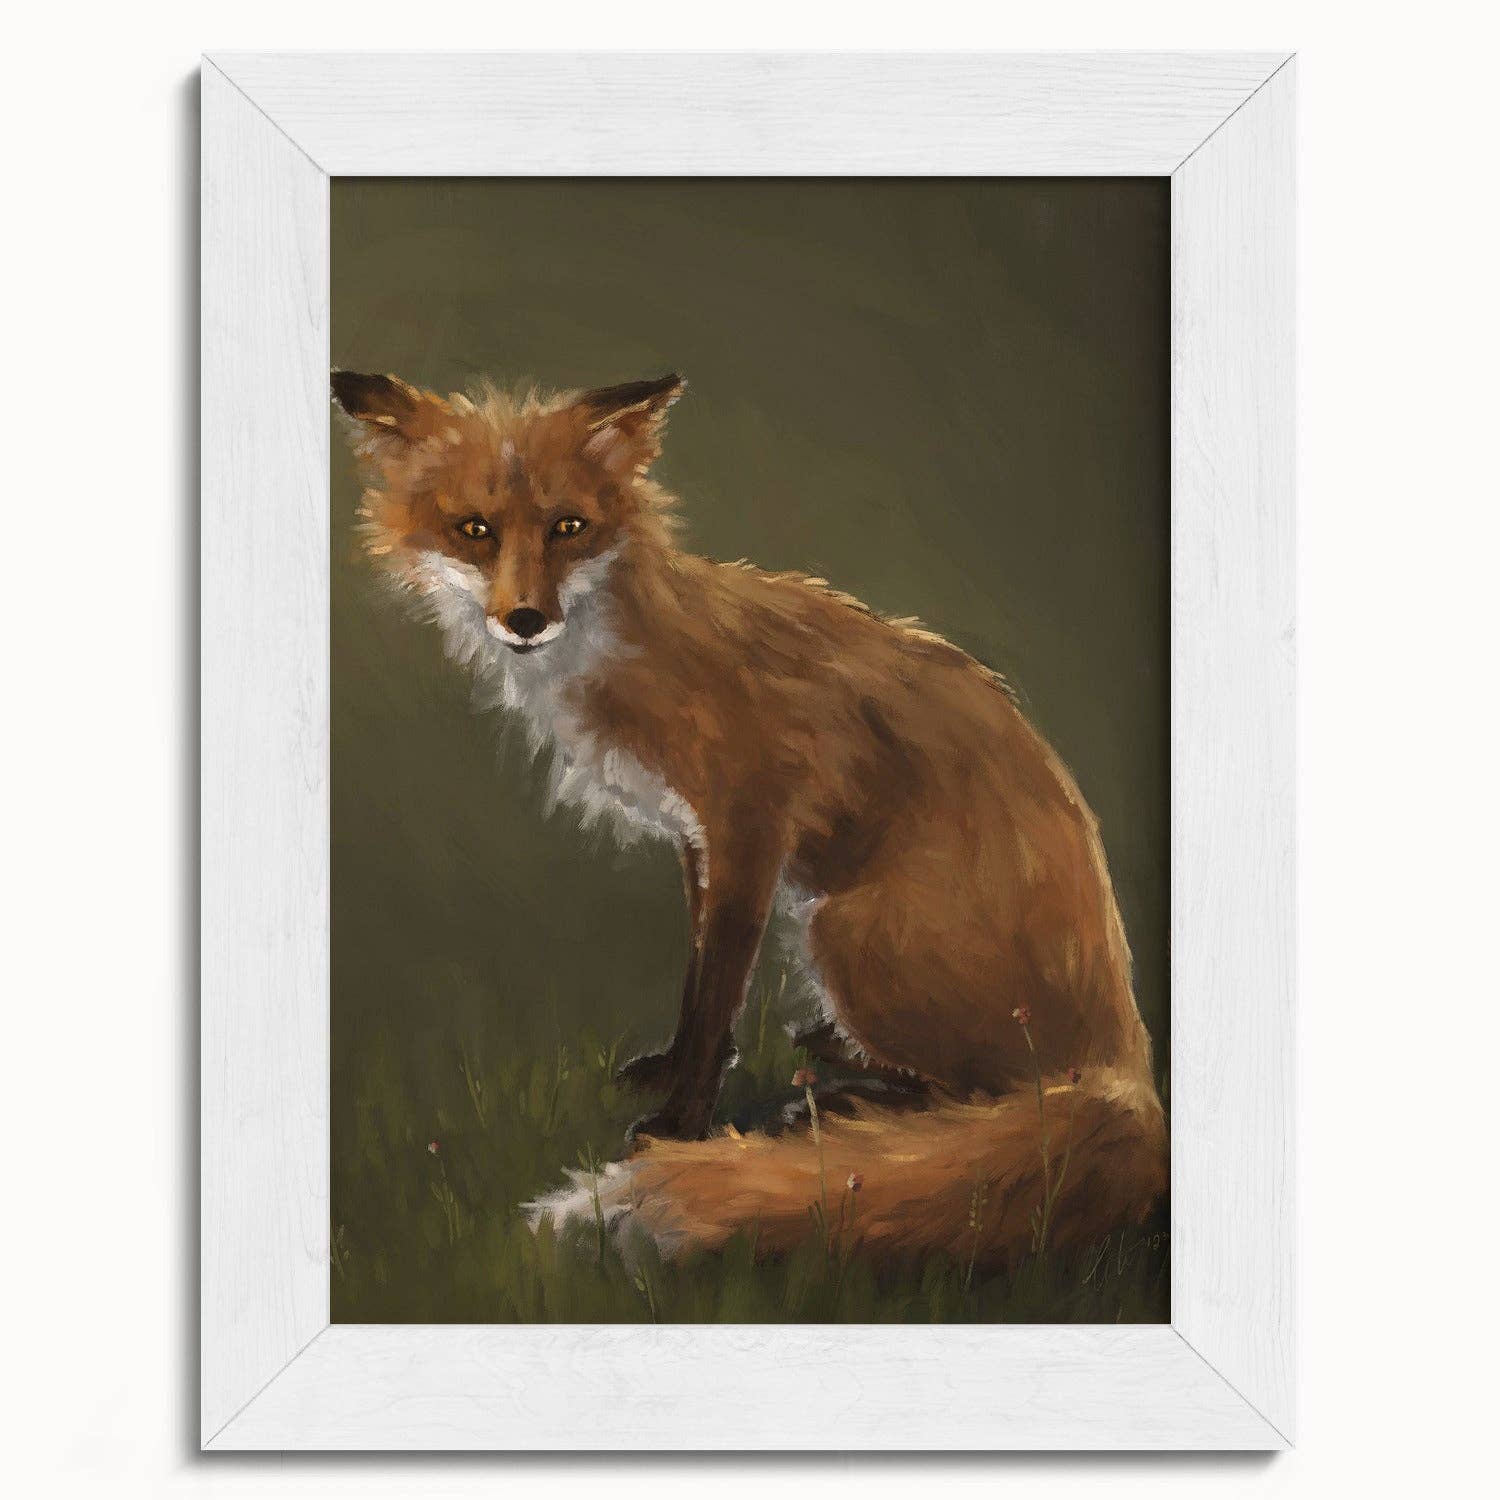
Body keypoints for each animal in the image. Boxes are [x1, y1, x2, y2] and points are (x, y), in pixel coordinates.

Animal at [331, 366, 1167, 1269]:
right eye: (474, 531)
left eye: (569, 528)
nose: (525, 620)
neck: (632, 649)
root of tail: (1127, 1060)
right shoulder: (697, 838)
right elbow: (699, 980)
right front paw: (669, 1072)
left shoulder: (750, 828)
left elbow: (716, 996)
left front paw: (677, 1125)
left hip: (841, 930)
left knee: (995, 1098)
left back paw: (845, 1104)